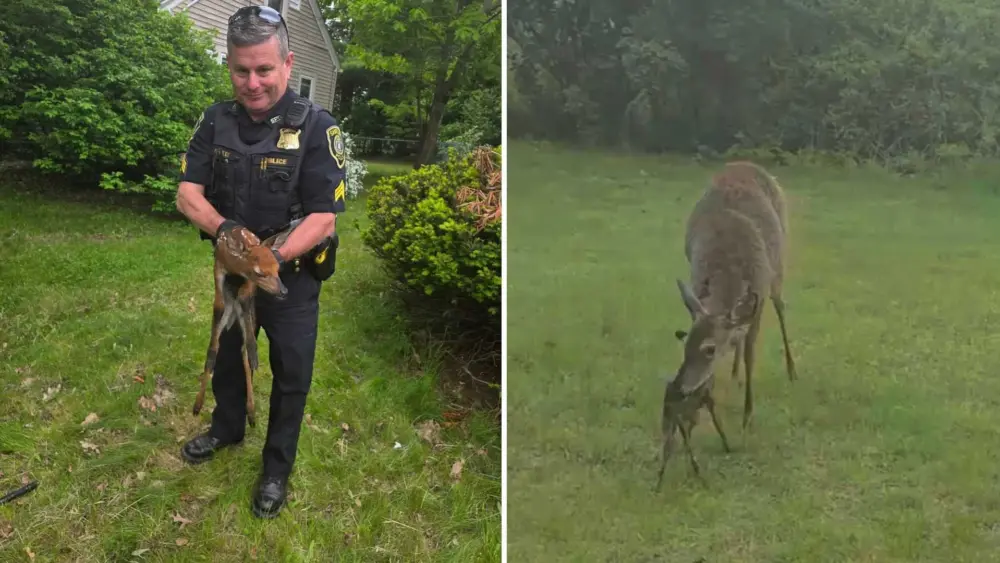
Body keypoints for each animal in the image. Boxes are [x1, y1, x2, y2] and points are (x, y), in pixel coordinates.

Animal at [191, 218, 303, 428]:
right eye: (259, 273)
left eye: (278, 268)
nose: (283, 291)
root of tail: (234, 313)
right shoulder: (219, 266)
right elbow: (219, 300)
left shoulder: (248, 284)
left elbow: (245, 295)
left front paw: (254, 352)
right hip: (226, 321)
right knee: (213, 348)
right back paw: (197, 406)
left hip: (249, 316)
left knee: (243, 349)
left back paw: (251, 412)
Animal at [656, 161, 797, 485]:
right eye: (685, 344)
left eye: (709, 349)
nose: (681, 387)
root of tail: (745, 163)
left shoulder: (759, 296)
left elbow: (751, 355)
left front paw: (748, 415)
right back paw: (733, 373)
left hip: (778, 264)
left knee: (781, 308)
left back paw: (791, 369)